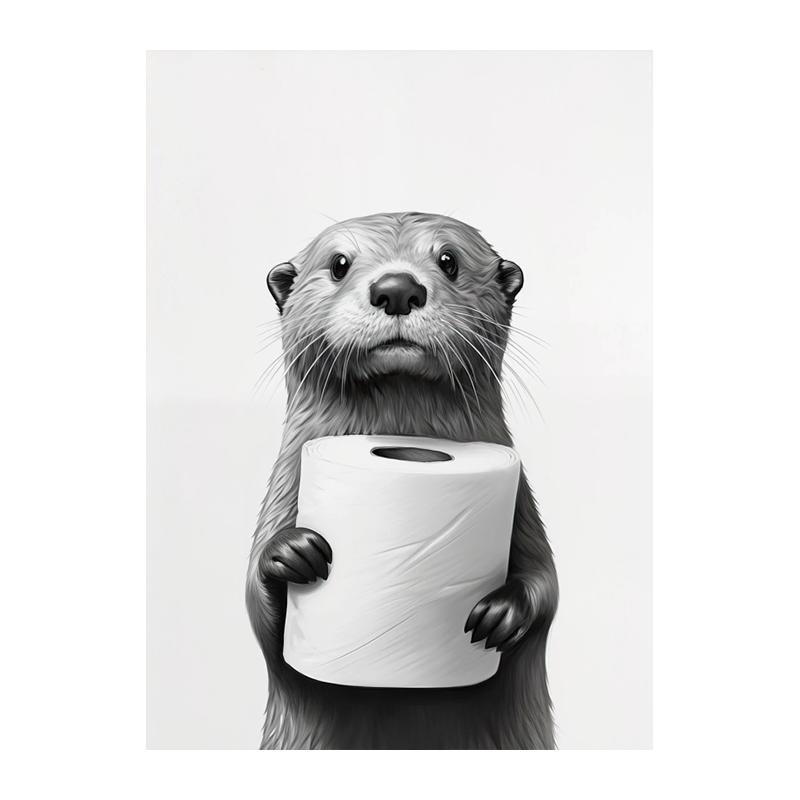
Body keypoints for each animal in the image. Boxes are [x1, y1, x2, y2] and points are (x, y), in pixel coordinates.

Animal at [246, 212, 558, 749]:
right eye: (339, 263)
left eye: (449, 260)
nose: (396, 288)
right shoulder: (283, 493)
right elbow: (258, 611)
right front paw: (290, 553)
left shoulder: (521, 505)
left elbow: (548, 585)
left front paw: (502, 613)